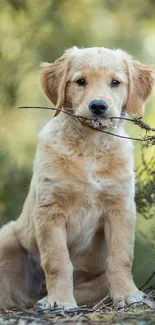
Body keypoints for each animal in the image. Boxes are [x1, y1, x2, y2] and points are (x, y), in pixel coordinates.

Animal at [0, 46, 154, 308]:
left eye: (115, 82)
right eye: (80, 81)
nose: (98, 106)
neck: (90, 146)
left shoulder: (120, 208)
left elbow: (121, 256)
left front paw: (128, 294)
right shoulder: (50, 210)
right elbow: (57, 260)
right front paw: (61, 301)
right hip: (7, 237)